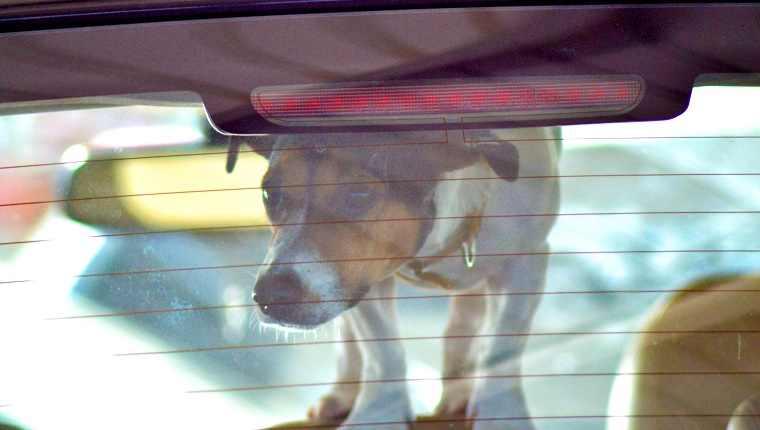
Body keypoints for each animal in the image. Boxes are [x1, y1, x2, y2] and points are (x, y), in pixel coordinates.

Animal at [224, 126, 560, 428]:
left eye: (358, 193)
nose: (270, 296)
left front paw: (501, 413)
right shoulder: (362, 280)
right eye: (270, 193)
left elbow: (503, 343)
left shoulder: (527, 265)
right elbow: (381, 349)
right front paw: (378, 414)